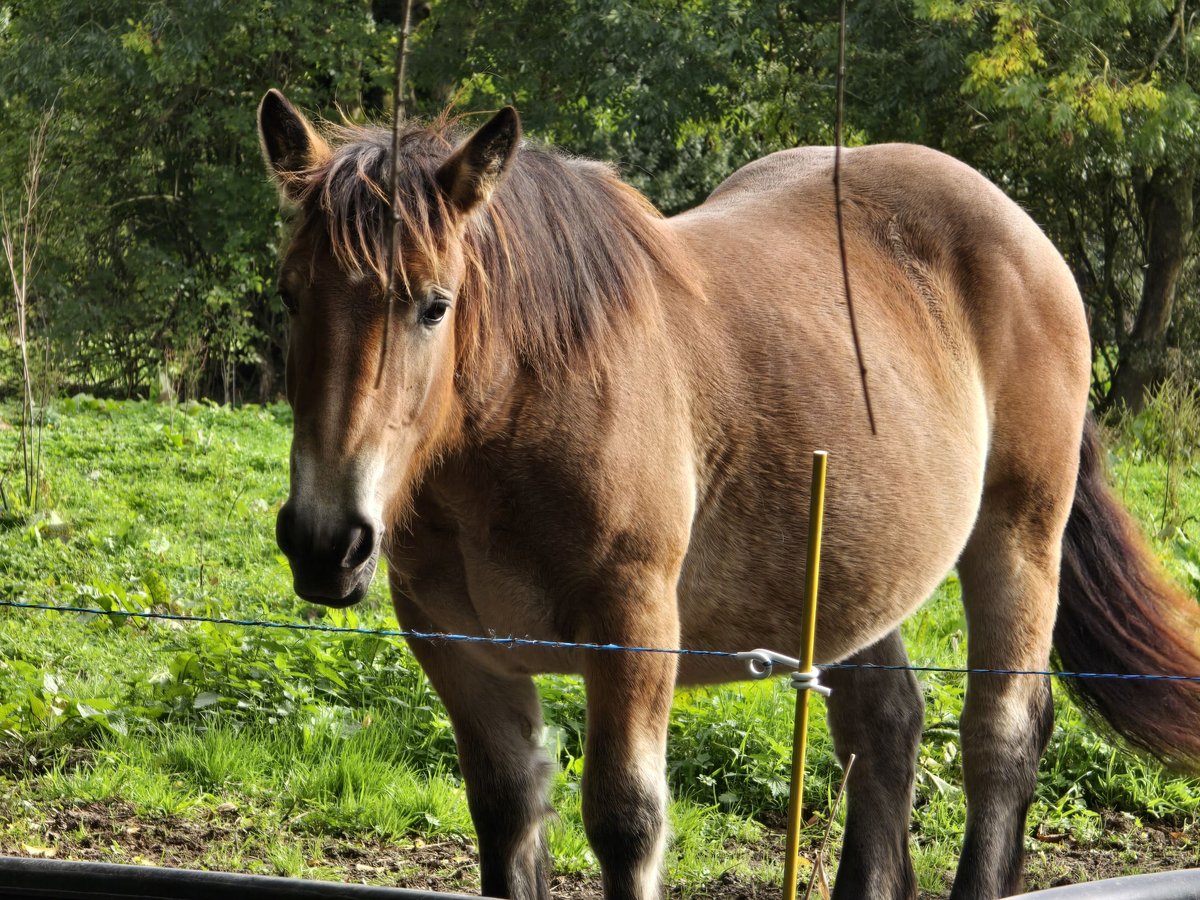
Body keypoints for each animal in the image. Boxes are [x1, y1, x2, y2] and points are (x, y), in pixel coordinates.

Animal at [253, 86, 1200, 900]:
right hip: (857, 568)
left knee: (1001, 740)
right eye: (291, 295)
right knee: (884, 729)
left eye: (435, 305)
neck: (526, 410)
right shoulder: (459, 651)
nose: (326, 542)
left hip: (1018, 536)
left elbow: (626, 822)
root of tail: (1022, 235)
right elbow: (508, 815)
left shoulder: (634, 630)